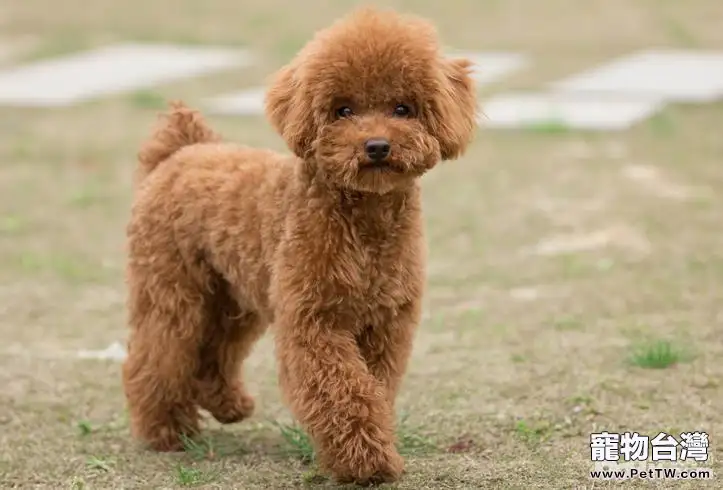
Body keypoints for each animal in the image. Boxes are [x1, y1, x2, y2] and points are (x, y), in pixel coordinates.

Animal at [121, 5, 478, 484]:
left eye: (403, 108)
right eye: (343, 110)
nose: (376, 146)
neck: (364, 222)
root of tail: (180, 151)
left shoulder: (384, 325)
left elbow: (372, 388)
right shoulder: (315, 320)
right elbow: (342, 391)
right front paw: (366, 462)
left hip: (235, 296)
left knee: (215, 349)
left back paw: (228, 406)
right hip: (174, 290)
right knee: (157, 354)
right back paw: (166, 430)